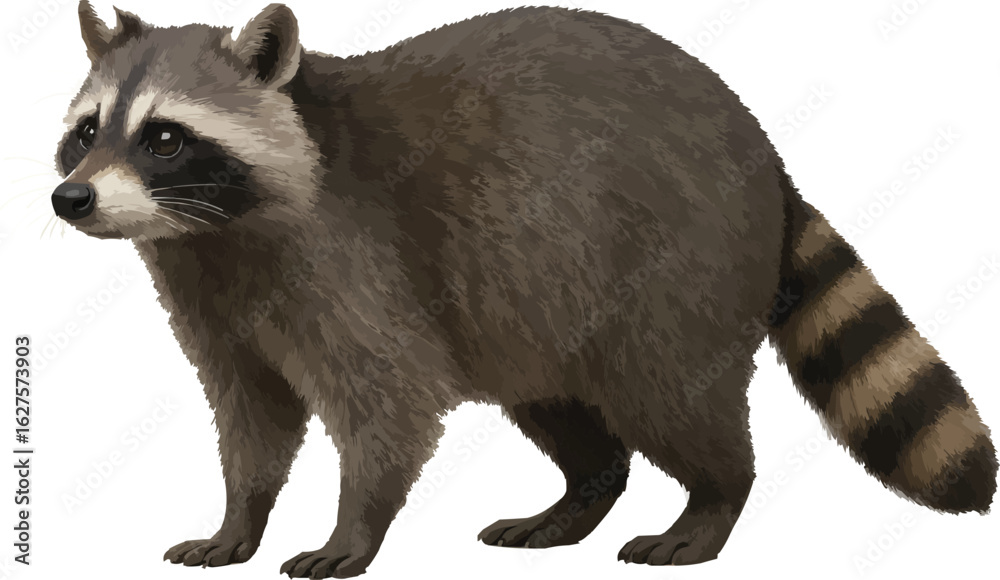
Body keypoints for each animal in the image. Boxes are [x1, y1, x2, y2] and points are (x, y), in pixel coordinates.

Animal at [53, 1, 996, 578]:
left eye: (165, 138)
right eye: (87, 133)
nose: (71, 200)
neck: (215, 232)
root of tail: (767, 154)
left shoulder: (354, 262)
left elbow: (388, 405)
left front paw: (353, 527)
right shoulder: (216, 301)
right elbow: (253, 417)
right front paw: (239, 520)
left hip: (675, 265)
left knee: (673, 398)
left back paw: (715, 500)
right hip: (530, 304)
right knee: (567, 413)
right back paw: (579, 498)